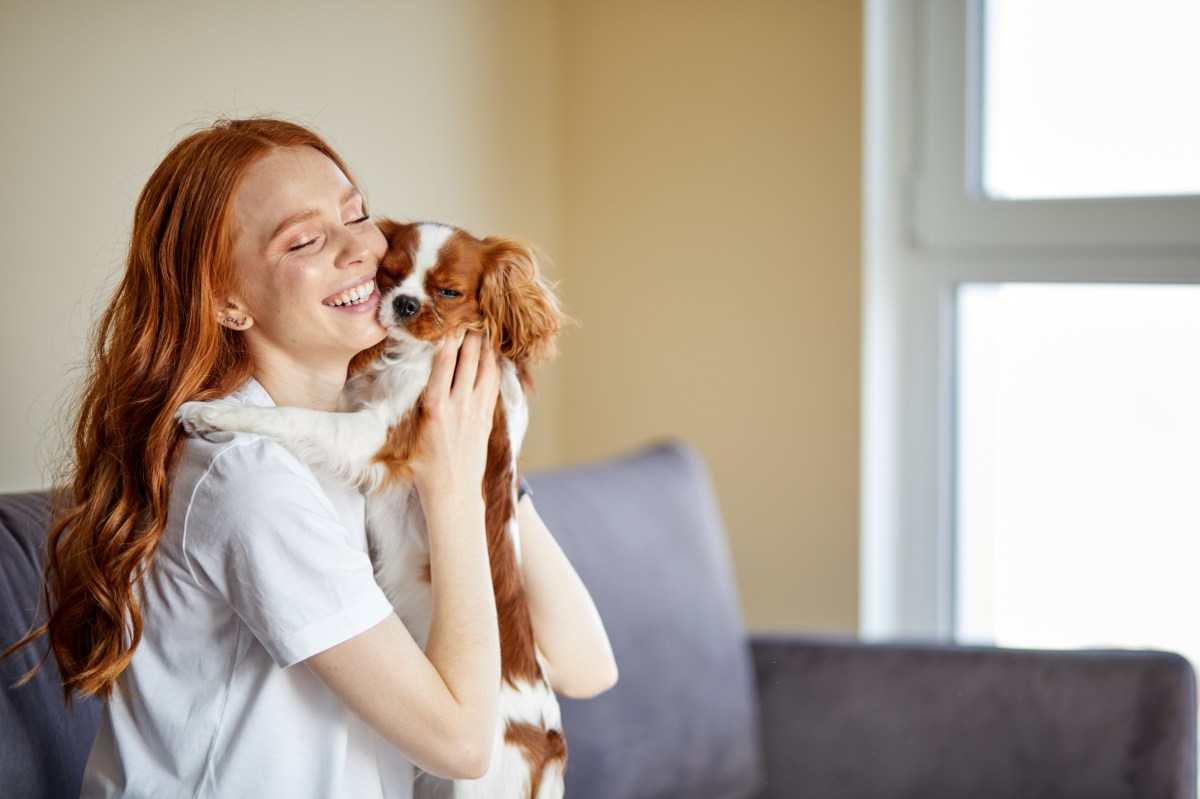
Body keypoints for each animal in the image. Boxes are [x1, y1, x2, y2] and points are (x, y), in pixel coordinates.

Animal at [176, 218, 566, 796]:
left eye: (448, 292)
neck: (413, 356)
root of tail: (548, 741)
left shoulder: (376, 434)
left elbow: (293, 417)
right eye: (390, 275)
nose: (404, 303)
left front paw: (212, 411)